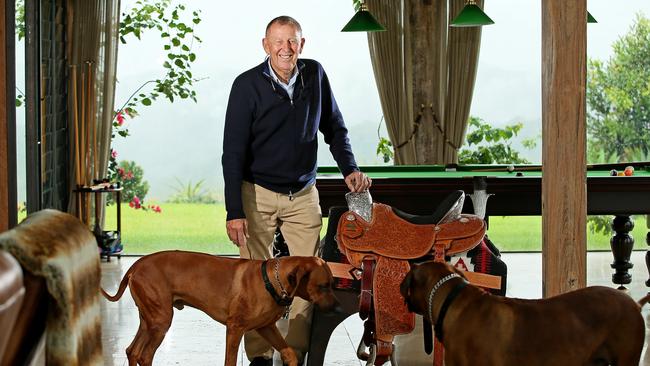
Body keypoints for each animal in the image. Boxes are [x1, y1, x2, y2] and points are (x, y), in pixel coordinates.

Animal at [101, 252, 340, 366]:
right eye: (323, 286)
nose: (338, 308)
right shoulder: (235, 329)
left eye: (332, 283)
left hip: (149, 319)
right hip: (161, 321)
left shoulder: (267, 327)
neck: (271, 281)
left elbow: (289, 353)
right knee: (145, 356)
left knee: (132, 351)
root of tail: (136, 265)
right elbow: (230, 361)